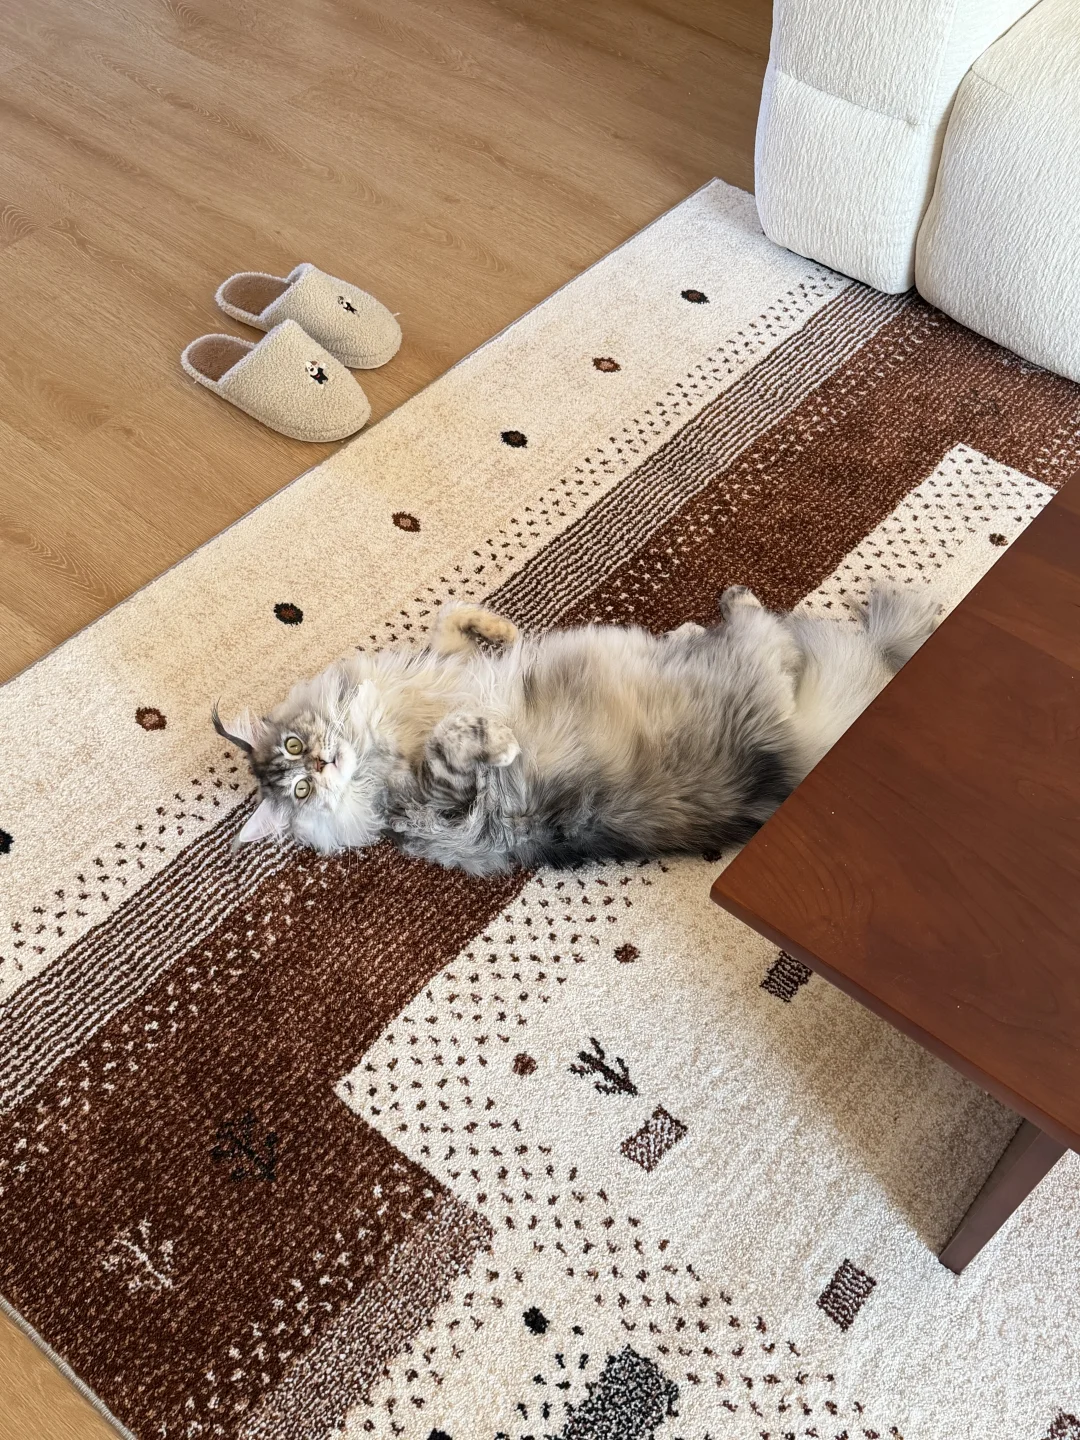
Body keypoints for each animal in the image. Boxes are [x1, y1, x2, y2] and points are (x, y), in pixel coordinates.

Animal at [213, 584, 940, 875]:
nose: (322, 767)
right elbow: (457, 742)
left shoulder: (441, 666)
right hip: (763, 682)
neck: (382, 738)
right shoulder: (444, 806)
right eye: (298, 789)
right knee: (767, 635)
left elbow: (452, 622)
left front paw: (501, 630)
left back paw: (694, 625)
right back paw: (727, 609)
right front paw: (498, 735)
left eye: (295, 750)